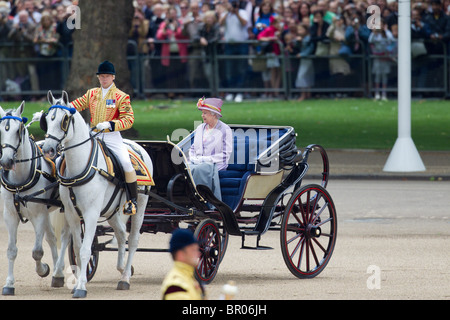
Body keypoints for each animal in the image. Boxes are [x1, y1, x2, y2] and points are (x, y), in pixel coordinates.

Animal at [0, 100, 67, 296]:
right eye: (1, 130)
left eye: (18, 130)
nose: (6, 162)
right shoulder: (10, 215)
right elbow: (11, 250)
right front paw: (9, 284)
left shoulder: (38, 215)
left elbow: (37, 251)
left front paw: (43, 269)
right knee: (52, 237)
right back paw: (58, 272)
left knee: (65, 237)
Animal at [41, 91, 153, 298]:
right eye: (47, 119)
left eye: (64, 119)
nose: (48, 150)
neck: (79, 166)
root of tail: (139, 147)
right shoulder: (72, 214)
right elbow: (78, 249)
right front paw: (79, 281)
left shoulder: (91, 213)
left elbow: (86, 249)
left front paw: (80, 287)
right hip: (112, 211)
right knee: (121, 234)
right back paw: (123, 269)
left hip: (140, 206)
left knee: (133, 240)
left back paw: (125, 278)